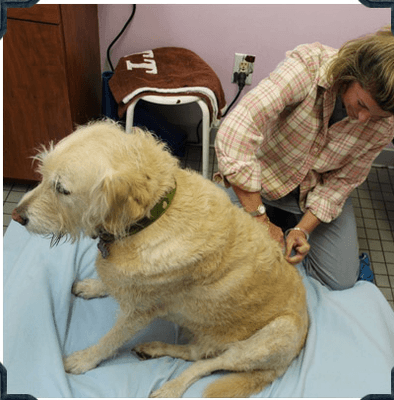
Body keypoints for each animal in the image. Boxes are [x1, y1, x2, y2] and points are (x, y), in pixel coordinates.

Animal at [11, 119, 308, 396]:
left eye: (62, 189)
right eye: (43, 174)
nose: (16, 216)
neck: (152, 216)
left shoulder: (138, 313)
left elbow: (110, 340)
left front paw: (85, 359)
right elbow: (111, 281)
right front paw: (93, 286)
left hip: (271, 337)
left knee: (204, 365)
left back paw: (171, 387)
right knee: (195, 353)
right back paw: (153, 348)